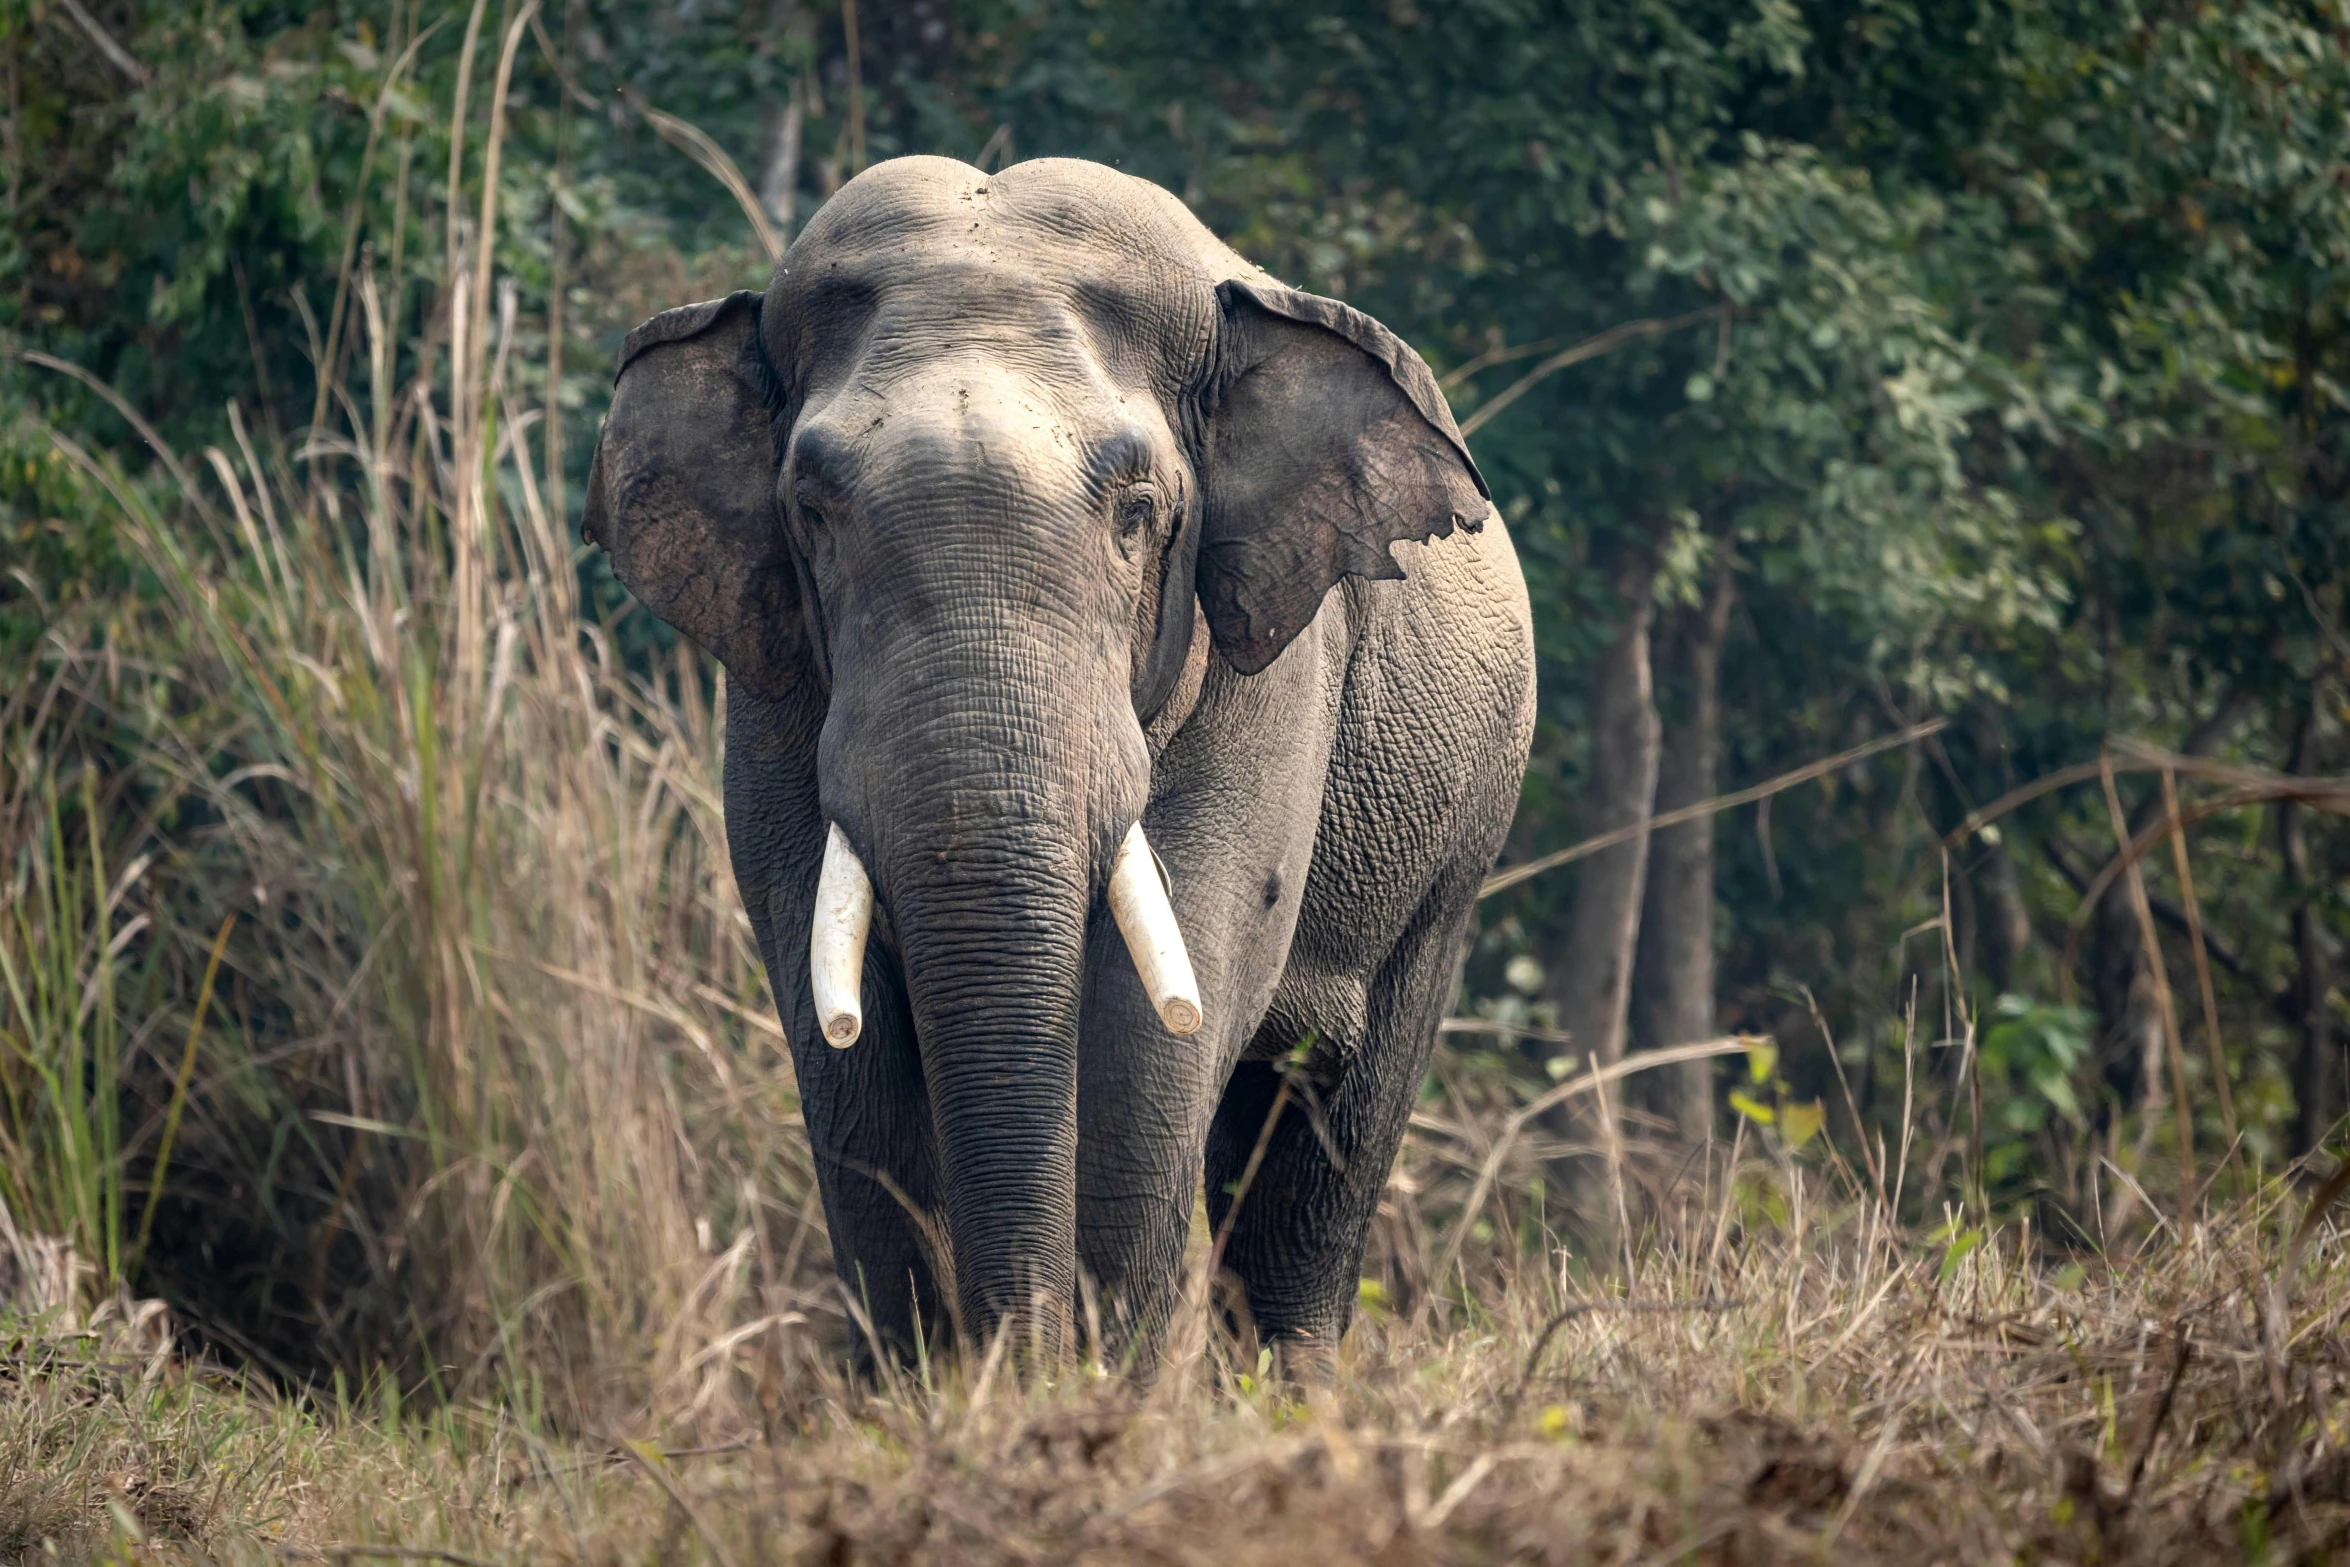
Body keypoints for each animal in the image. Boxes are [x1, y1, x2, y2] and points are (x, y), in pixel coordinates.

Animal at [587, 150, 1541, 1372]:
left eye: (1138, 513)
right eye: (811, 512)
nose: (1017, 1361)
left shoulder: (1270, 664)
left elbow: (1158, 1013)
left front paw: (1097, 1384)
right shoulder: (772, 685)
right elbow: (842, 1037)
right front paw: (930, 1391)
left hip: (1457, 844)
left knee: (1326, 1131)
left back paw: (1292, 1386)